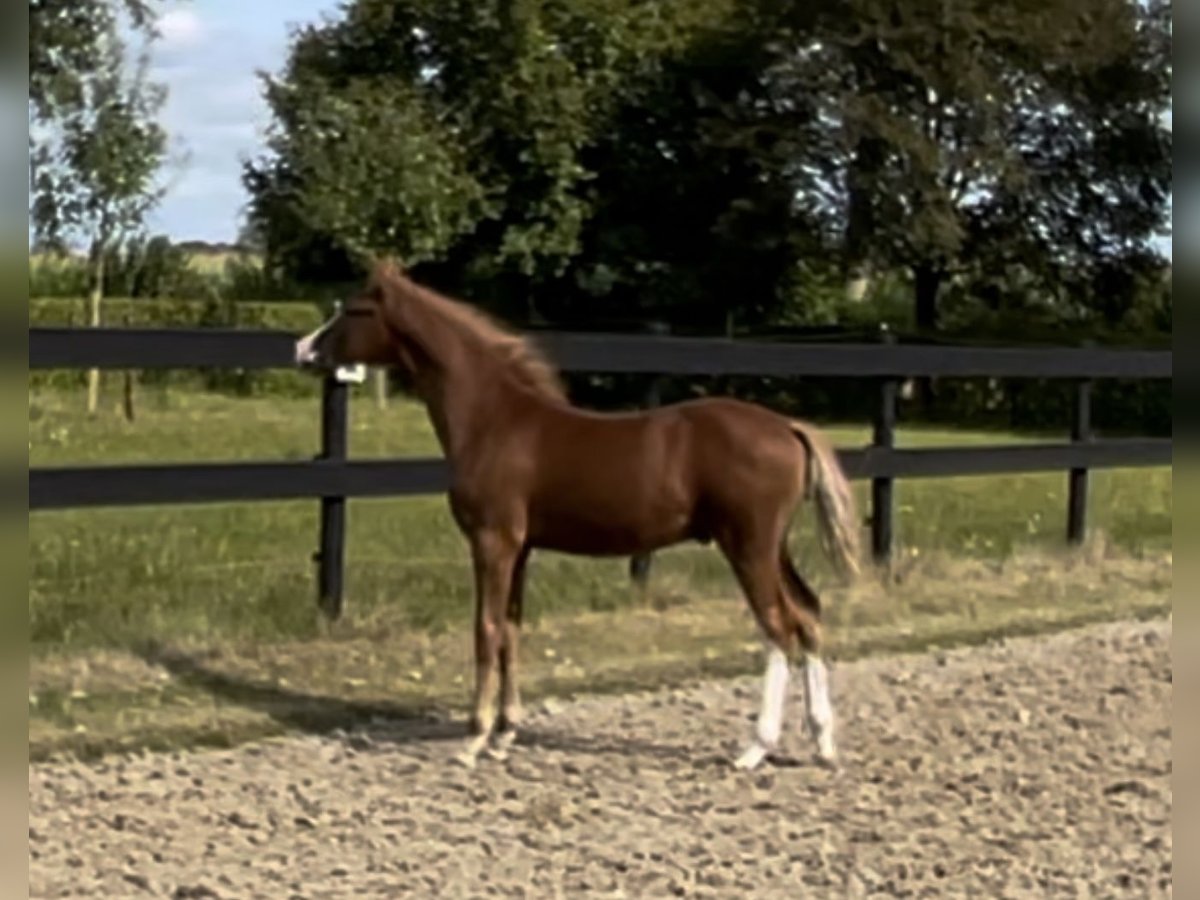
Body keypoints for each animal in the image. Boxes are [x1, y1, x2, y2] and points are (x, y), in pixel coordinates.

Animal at [300, 262, 864, 777]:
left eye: (356, 310)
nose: (304, 349)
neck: (494, 421)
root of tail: (788, 427)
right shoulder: (521, 548)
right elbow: (511, 630)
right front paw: (504, 735)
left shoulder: (492, 540)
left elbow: (486, 628)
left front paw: (474, 739)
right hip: (774, 546)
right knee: (808, 614)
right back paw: (823, 742)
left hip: (747, 545)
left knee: (779, 627)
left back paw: (754, 749)